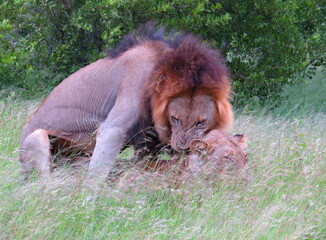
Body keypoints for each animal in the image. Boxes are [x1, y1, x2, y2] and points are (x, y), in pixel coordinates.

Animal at [19, 24, 233, 182]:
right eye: (175, 119)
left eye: (201, 122)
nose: (184, 147)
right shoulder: (115, 125)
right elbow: (97, 173)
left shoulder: (148, 142)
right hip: (36, 140)